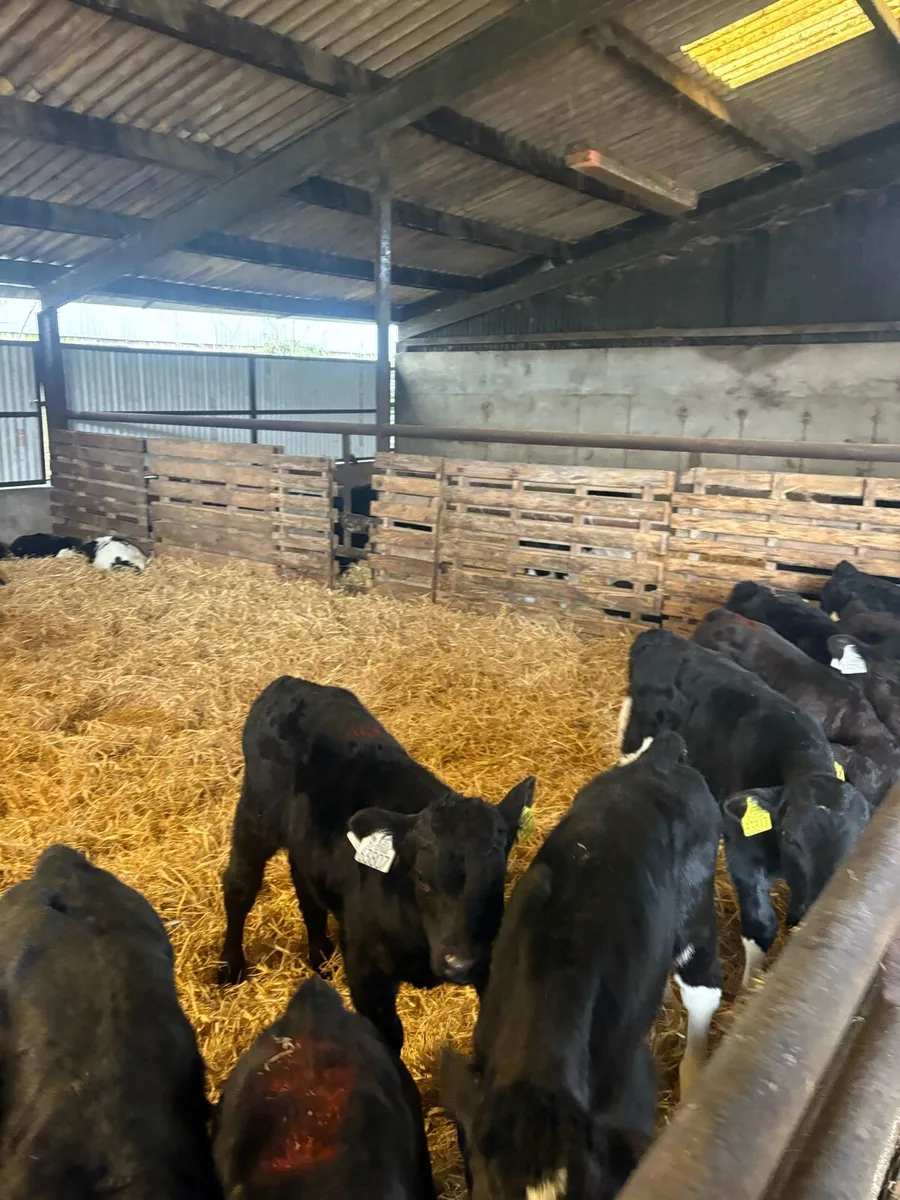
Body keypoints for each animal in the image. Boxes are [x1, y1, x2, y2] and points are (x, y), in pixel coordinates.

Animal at [218, 676, 535, 1053]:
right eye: (422, 879)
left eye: (497, 878)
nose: (458, 964)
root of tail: (291, 683)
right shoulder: (366, 974)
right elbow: (386, 1040)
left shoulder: (488, 961)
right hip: (255, 815)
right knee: (239, 885)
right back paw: (230, 968)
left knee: (305, 886)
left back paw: (320, 957)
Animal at [620, 630, 871, 988]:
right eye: (790, 837)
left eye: (856, 844)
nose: (810, 912)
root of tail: (659, 635)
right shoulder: (743, 854)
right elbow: (761, 924)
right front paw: (748, 986)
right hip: (639, 729)